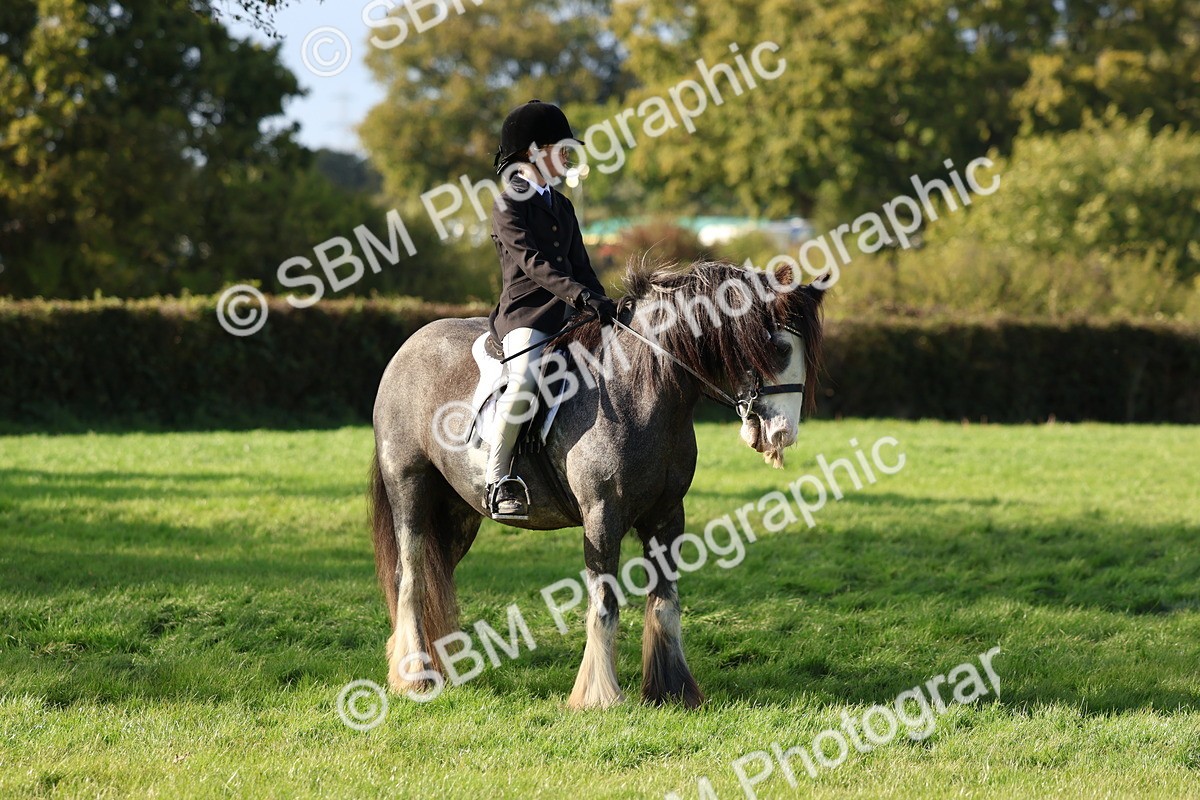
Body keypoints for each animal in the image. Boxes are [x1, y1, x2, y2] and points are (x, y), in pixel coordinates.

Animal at [369, 259, 827, 709]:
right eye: (778, 348)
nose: (783, 434)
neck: (640, 388)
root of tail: (406, 350)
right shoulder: (602, 518)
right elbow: (604, 604)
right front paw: (598, 696)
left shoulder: (667, 516)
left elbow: (666, 603)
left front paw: (672, 690)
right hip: (411, 490)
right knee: (411, 578)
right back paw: (415, 677)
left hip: (457, 513)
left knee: (435, 576)